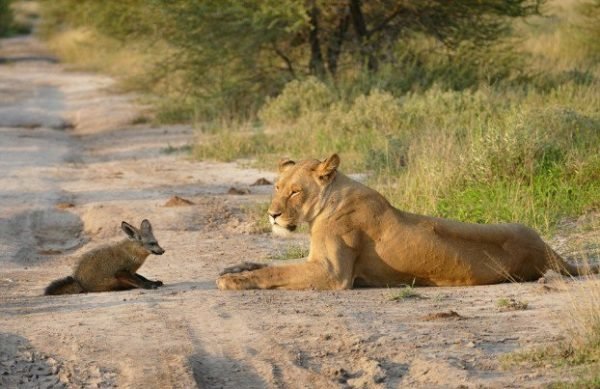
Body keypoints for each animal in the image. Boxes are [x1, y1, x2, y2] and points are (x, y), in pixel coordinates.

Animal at [218, 153, 596, 290]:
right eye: (277, 188)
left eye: (296, 192)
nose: (272, 214)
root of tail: (552, 253)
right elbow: (267, 264)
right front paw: (234, 269)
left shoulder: (333, 273)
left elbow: (275, 272)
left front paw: (233, 281)